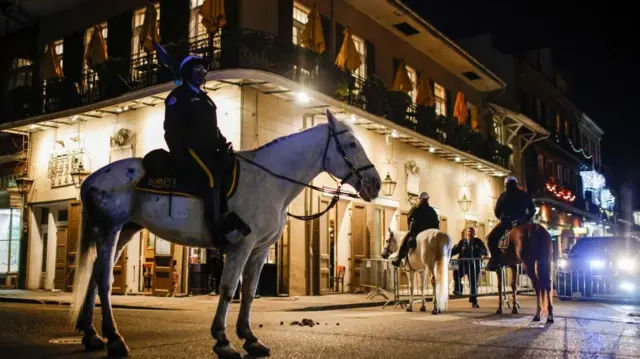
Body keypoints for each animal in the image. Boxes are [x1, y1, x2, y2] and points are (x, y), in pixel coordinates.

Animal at [69, 110, 380, 359]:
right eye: (351, 144)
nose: (375, 184)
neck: (269, 180)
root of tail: (91, 179)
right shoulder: (242, 246)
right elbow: (229, 288)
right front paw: (223, 340)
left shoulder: (260, 249)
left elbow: (250, 292)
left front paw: (250, 338)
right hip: (109, 230)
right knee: (104, 279)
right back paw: (114, 338)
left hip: (125, 231)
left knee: (95, 276)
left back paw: (91, 334)